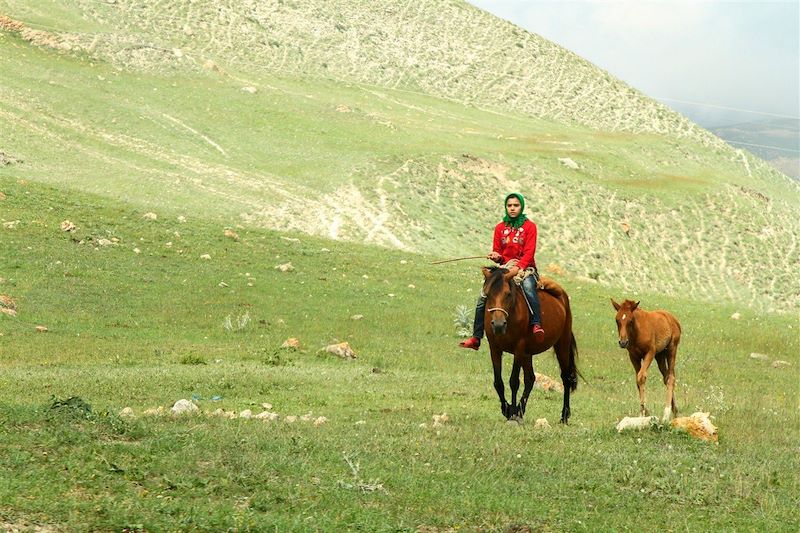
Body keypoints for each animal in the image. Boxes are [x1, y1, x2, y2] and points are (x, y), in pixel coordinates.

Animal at [482, 268, 576, 422]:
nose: (498, 325)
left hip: (562, 344)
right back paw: (520, 410)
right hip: (528, 353)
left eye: (508, 294)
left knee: (566, 378)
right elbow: (498, 382)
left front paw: (512, 413)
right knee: (530, 379)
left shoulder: (518, 348)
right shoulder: (495, 348)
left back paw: (564, 416)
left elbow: (514, 381)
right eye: (487, 294)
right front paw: (507, 409)